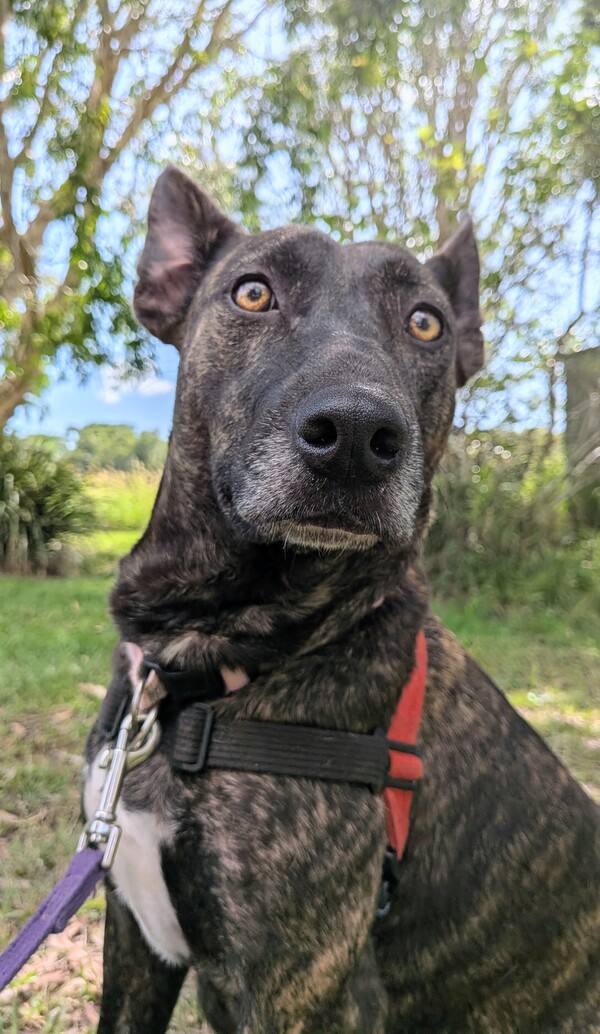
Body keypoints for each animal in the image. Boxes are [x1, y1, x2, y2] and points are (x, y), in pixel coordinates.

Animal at [84, 165, 600, 1033]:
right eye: (253, 293)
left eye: (425, 322)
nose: (357, 435)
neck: (211, 666)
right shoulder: (133, 940)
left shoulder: (303, 991)